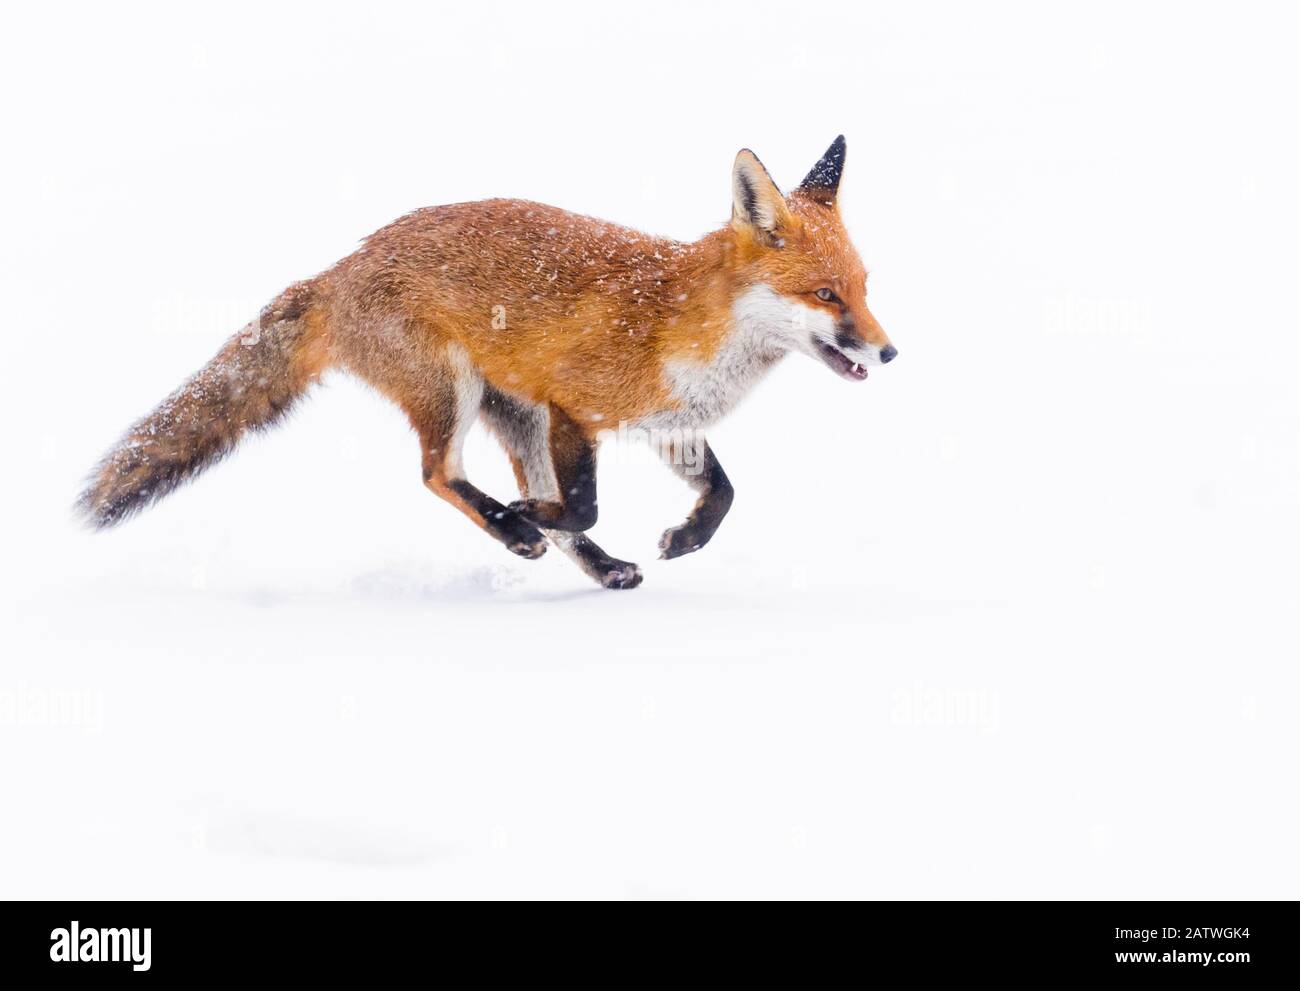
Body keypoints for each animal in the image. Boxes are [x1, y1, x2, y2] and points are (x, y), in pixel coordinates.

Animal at [78, 139, 894, 587]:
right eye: (825, 294)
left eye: (863, 287)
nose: (889, 350)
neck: (681, 323)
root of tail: (341, 267)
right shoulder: (574, 406)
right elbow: (584, 502)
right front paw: (529, 517)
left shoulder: (665, 424)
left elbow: (723, 493)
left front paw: (685, 539)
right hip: (458, 392)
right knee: (440, 475)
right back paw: (512, 524)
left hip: (511, 412)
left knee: (514, 499)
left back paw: (595, 563)